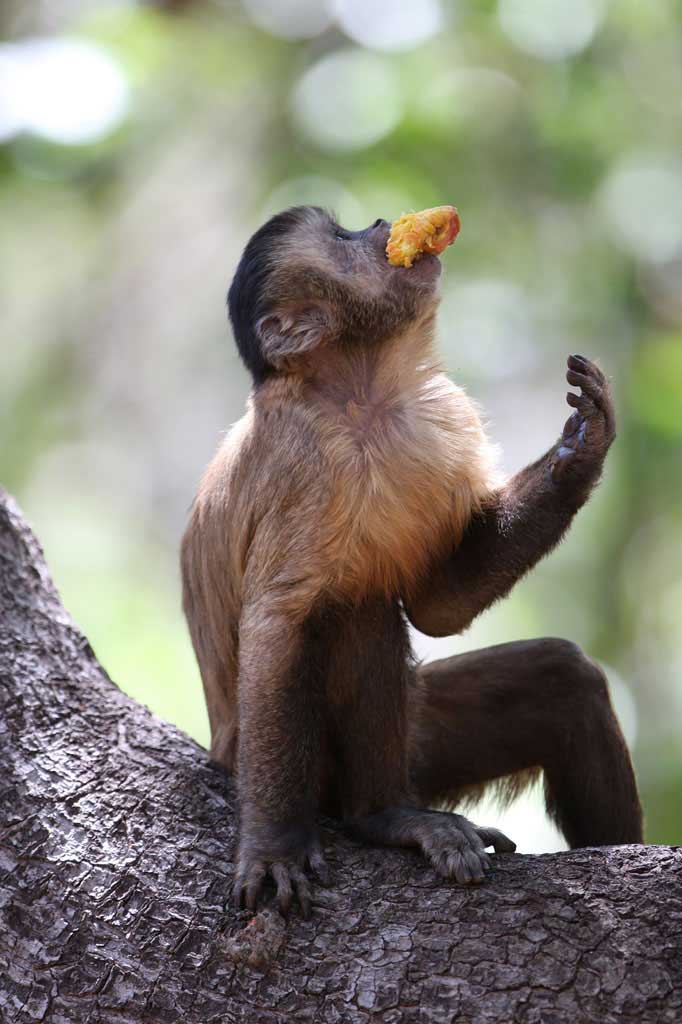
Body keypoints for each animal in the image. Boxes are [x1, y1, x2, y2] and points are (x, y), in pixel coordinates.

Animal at [178, 203, 638, 917]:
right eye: (342, 238)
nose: (376, 222)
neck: (359, 395)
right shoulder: (305, 465)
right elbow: (277, 625)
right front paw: (273, 847)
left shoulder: (439, 426)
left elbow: (437, 607)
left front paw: (580, 452)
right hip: (293, 769)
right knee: (352, 609)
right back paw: (383, 816)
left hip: (422, 736)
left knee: (564, 678)